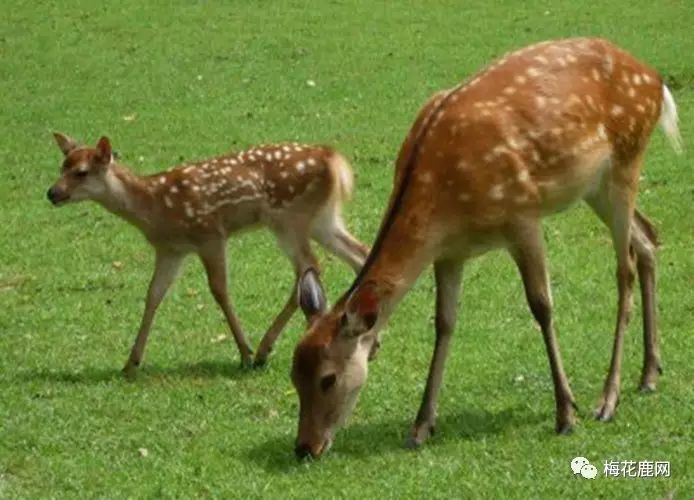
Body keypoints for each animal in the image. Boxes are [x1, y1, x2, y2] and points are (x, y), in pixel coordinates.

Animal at [47, 135, 372, 374]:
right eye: (62, 166)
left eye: (81, 172)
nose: (51, 193)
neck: (155, 208)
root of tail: (333, 158)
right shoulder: (170, 250)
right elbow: (153, 295)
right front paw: (131, 363)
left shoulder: (210, 234)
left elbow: (219, 290)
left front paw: (244, 352)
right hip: (322, 219)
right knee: (359, 253)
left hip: (289, 218)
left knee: (309, 268)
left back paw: (264, 350)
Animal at [290, 38, 684, 460]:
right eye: (293, 374)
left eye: (328, 379)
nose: (305, 446)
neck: (445, 202)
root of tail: (654, 79)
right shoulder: (449, 252)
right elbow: (444, 323)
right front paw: (421, 426)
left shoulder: (523, 217)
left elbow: (542, 307)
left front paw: (566, 413)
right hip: (594, 187)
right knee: (648, 238)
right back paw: (649, 374)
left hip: (626, 162)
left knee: (625, 268)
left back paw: (607, 400)